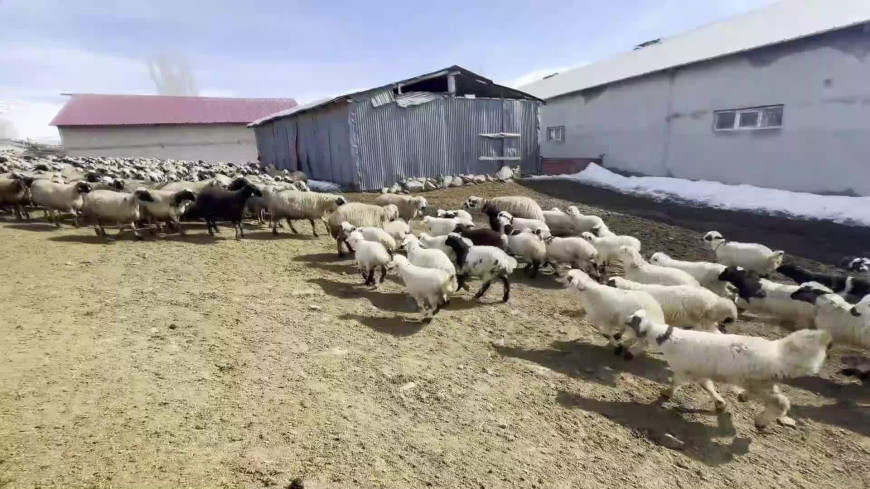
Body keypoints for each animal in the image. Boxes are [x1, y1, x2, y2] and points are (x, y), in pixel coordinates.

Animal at [628, 308, 832, 428]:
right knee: (775, 397)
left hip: (754, 380)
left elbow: (676, 383)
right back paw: (744, 397)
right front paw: (720, 403)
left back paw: (760, 421)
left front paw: (666, 393)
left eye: (633, 320)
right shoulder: (699, 372)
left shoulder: (683, 370)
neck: (668, 338)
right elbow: (707, 386)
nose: (626, 318)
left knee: (780, 402)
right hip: (764, 381)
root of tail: (779, 354)